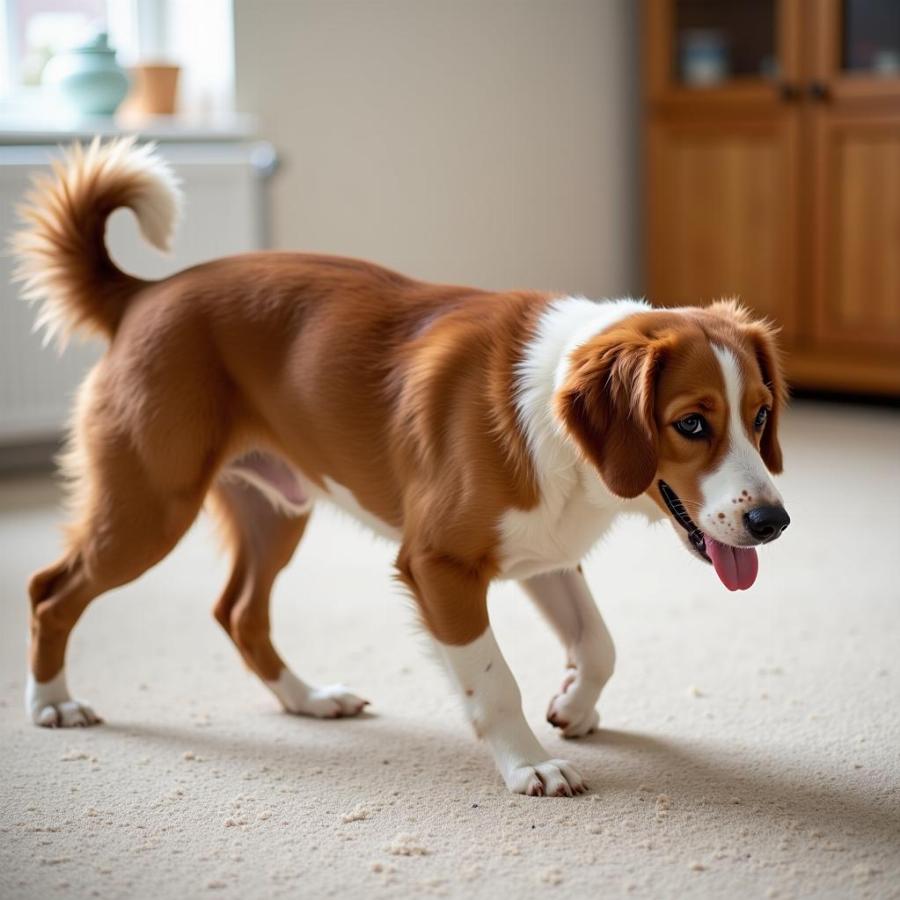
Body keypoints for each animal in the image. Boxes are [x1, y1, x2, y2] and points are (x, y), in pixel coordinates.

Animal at [12, 139, 788, 796]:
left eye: (759, 416)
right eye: (691, 424)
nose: (772, 521)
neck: (555, 423)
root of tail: (146, 292)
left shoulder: (545, 551)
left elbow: (599, 644)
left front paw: (573, 703)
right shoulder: (438, 565)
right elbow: (493, 680)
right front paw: (528, 764)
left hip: (277, 512)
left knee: (238, 613)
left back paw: (308, 700)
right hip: (150, 509)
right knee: (51, 591)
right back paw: (52, 703)